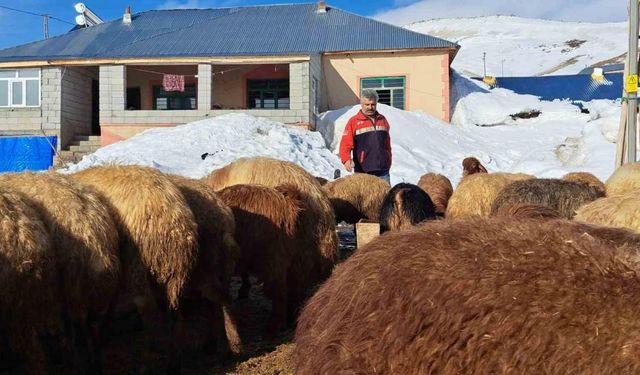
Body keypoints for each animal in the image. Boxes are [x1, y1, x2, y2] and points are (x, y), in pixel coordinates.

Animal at [219, 185, 306, 334]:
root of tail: (287, 203)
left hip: (274, 259)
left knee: (279, 292)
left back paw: (274, 326)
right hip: (292, 259)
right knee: (294, 287)